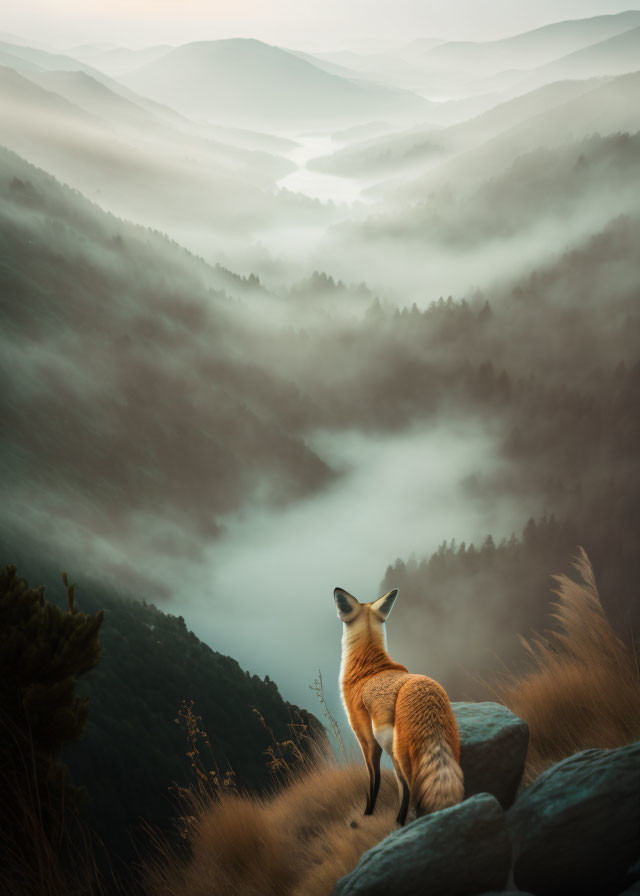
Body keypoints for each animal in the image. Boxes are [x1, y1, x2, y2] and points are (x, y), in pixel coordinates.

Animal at [336, 588, 464, 824]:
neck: (369, 668)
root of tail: (423, 688)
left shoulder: (365, 737)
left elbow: (374, 779)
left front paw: (368, 811)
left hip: (396, 752)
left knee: (408, 788)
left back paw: (401, 821)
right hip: (448, 748)